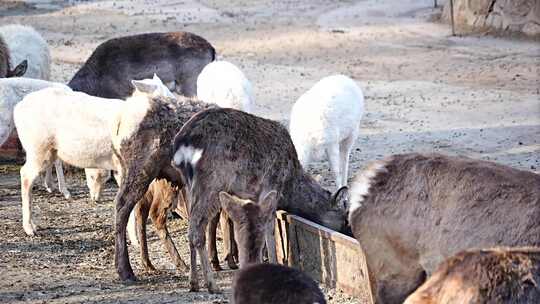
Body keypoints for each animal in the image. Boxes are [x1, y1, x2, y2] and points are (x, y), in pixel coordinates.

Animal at [14, 73, 175, 235]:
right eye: (165, 99)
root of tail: (17, 109)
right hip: (38, 147)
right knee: (25, 175)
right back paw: (29, 228)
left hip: (49, 151)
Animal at [172, 108, 350, 292]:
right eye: (345, 218)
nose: (348, 232)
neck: (289, 186)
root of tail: (181, 146)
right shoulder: (271, 187)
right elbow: (269, 228)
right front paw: (273, 261)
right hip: (211, 183)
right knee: (197, 230)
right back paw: (212, 285)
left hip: (189, 185)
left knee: (190, 227)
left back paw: (193, 282)